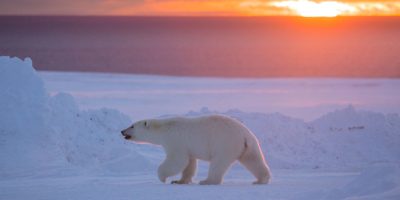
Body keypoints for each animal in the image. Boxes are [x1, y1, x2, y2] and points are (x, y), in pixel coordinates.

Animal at [121, 114, 272, 184]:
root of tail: (245, 134)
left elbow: (177, 160)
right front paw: (179, 181)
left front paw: (162, 178)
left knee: (218, 163)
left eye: (132, 125)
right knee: (254, 160)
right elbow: (189, 163)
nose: (122, 131)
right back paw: (261, 180)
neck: (165, 128)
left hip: (225, 143)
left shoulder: (175, 141)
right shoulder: (187, 146)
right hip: (249, 146)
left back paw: (207, 181)